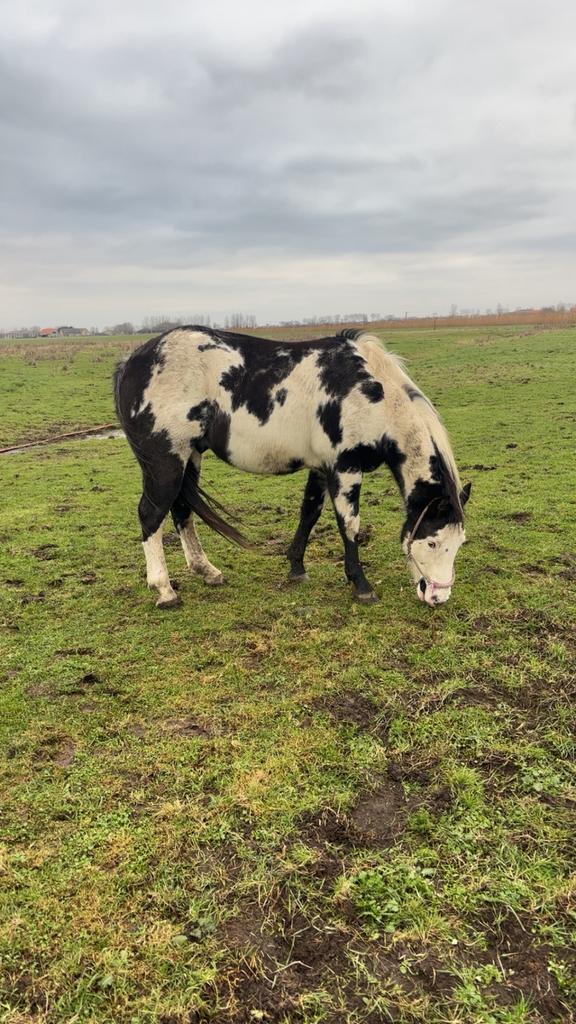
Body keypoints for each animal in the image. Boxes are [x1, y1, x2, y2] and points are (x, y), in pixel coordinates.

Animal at [114, 326, 471, 609]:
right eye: (433, 542)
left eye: (459, 543)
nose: (438, 597)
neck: (372, 396)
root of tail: (132, 361)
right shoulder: (345, 468)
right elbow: (349, 526)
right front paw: (361, 585)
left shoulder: (321, 468)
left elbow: (309, 514)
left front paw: (296, 567)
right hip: (165, 461)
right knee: (151, 514)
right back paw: (164, 590)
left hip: (190, 458)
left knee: (181, 511)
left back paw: (208, 572)